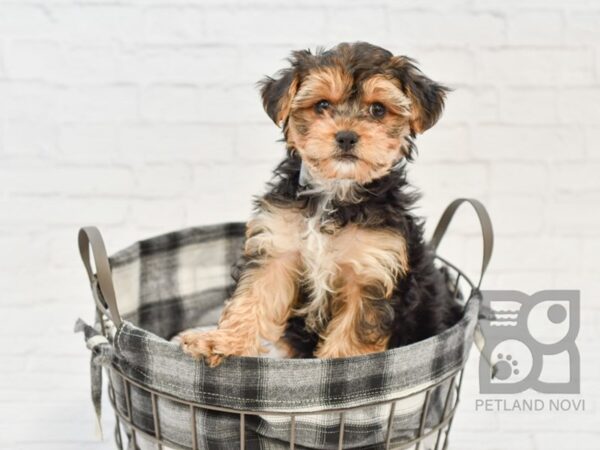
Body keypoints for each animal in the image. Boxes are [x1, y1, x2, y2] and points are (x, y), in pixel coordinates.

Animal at [180, 41, 462, 366]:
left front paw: (341, 364)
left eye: (378, 109)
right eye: (322, 105)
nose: (347, 137)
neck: (335, 192)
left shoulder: (371, 271)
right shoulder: (277, 247)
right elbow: (253, 295)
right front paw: (222, 341)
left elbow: (353, 331)